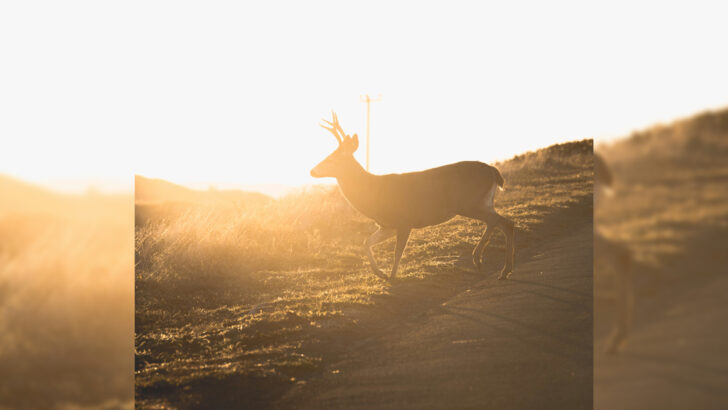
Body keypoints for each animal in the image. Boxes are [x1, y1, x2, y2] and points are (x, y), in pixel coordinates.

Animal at [310, 112, 516, 282]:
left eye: (333, 158)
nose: (312, 170)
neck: (373, 193)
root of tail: (493, 171)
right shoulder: (387, 225)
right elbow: (365, 243)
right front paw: (381, 273)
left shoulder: (404, 220)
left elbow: (397, 251)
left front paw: (392, 277)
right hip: (481, 202)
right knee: (499, 221)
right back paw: (486, 262)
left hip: (469, 202)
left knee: (502, 222)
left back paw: (496, 267)